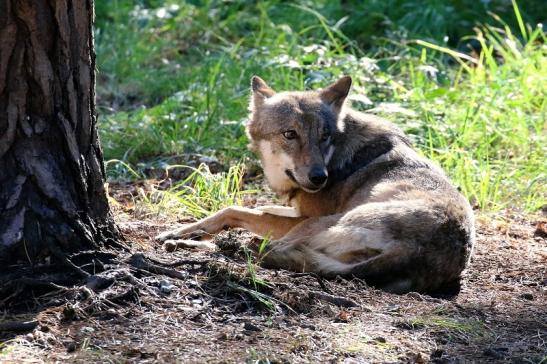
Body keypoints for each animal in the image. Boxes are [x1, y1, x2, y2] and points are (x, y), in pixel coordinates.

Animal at [155, 75, 476, 294]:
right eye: (290, 134)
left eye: (324, 136)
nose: (319, 177)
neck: (339, 156)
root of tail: (415, 250)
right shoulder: (297, 211)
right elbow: (242, 210)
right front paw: (189, 231)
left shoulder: (303, 217)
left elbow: (235, 210)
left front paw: (185, 232)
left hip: (317, 225)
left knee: (258, 250)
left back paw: (188, 244)